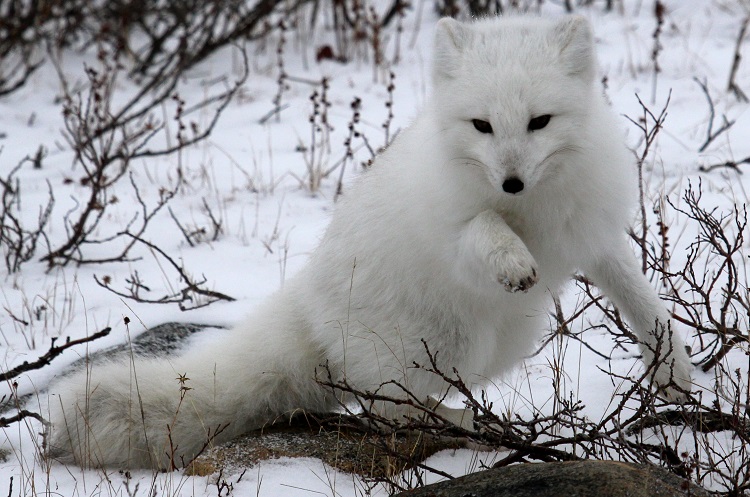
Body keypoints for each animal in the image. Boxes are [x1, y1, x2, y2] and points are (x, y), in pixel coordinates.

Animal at [47, 13, 692, 466]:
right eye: (482, 125)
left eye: (540, 122)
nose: (510, 181)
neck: (531, 210)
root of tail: (307, 300)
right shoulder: (457, 234)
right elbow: (481, 230)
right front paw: (512, 261)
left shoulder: (589, 234)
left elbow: (641, 298)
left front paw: (674, 374)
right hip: (452, 340)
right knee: (384, 405)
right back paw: (460, 422)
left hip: (503, 339)